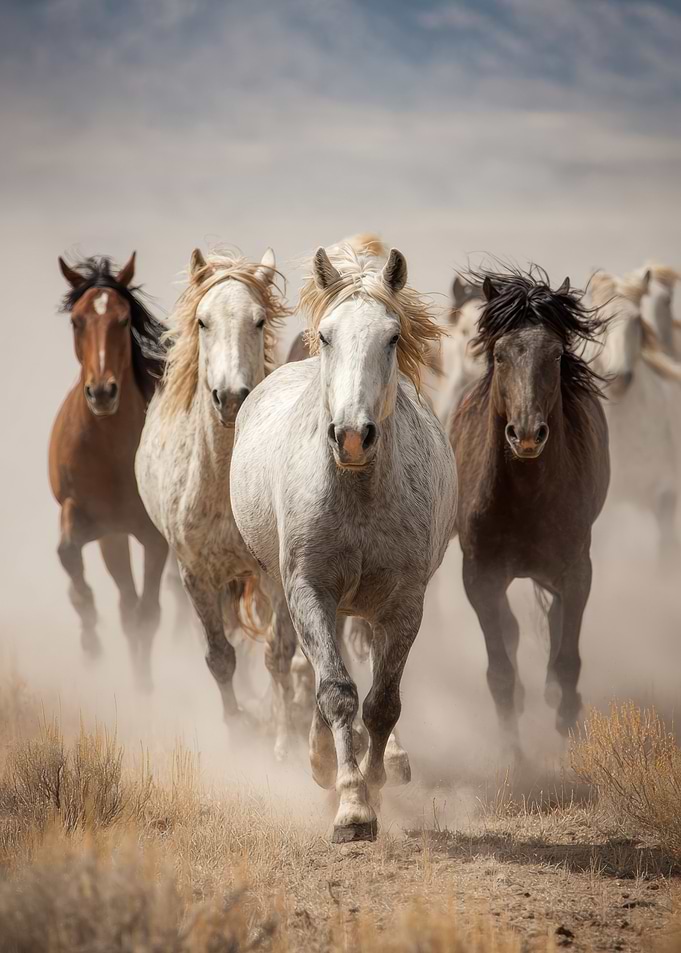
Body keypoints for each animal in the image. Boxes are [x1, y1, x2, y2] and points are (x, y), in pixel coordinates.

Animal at [49, 254, 169, 690]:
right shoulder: (81, 513)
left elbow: (147, 616)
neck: (110, 451)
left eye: (122, 319)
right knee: (123, 603)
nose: (102, 392)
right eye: (76, 321)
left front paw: (145, 689)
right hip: (112, 539)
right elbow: (68, 556)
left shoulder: (154, 538)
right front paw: (90, 643)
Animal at [135, 247, 300, 758]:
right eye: (203, 321)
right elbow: (219, 657)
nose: (230, 398)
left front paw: (283, 742)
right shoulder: (196, 576)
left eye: (259, 320)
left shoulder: (273, 576)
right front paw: (236, 733)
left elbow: (278, 654)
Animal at [230, 234, 457, 842]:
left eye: (393, 336)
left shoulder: (403, 604)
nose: (353, 437)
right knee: (310, 669)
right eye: (328, 335)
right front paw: (352, 805)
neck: (356, 491)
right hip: (290, 590)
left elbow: (382, 702)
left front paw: (372, 783)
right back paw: (318, 760)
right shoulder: (309, 588)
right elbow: (336, 691)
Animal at [450, 267, 610, 747]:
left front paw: (566, 735)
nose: (525, 435)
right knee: (512, 631)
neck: (524, 499)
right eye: (500, 355)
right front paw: (513, 756)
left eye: (556, 356)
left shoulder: (576, 573)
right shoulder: (479, 576)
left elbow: (568, 661)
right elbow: (500, 671)